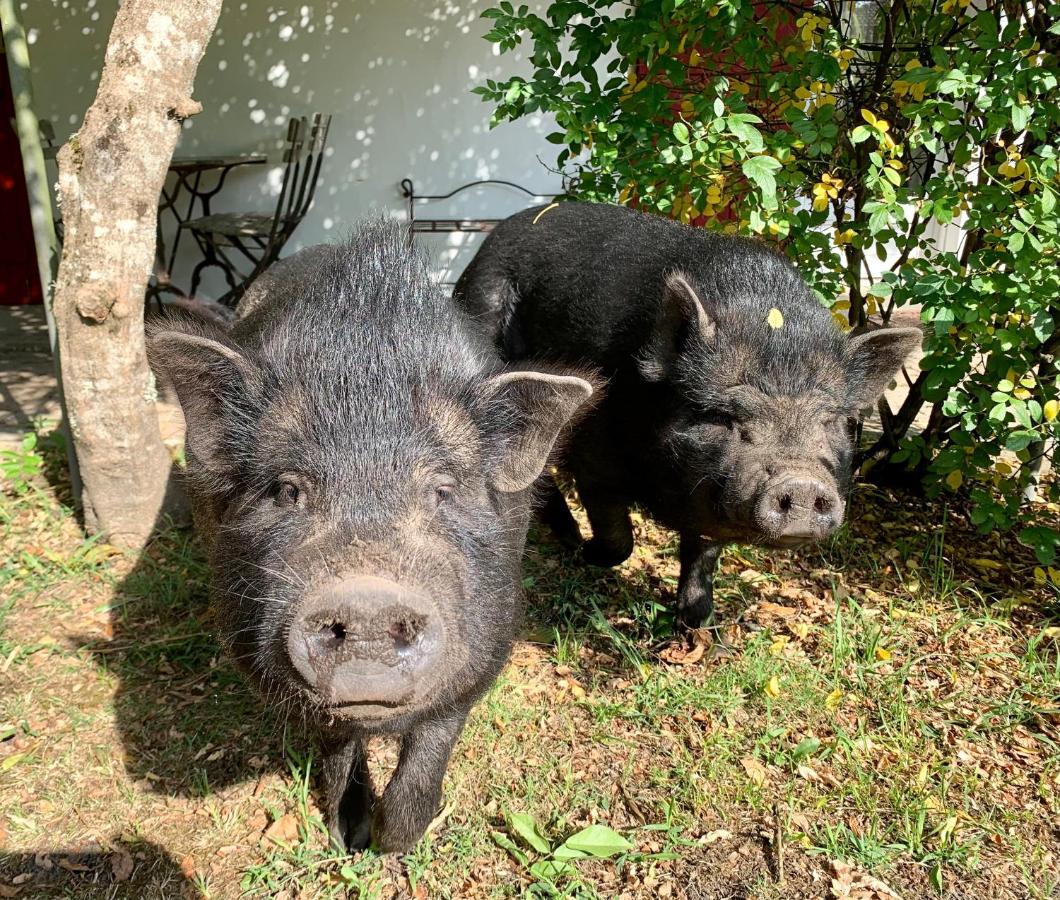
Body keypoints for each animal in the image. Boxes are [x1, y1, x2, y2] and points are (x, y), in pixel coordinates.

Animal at [147, 219, 597, 848]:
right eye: (287, 490)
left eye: (442, 490)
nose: (366, 601)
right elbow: (337, 744)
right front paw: (347, 838)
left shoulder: (485, 648)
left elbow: (434, 740)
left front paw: (397, 845)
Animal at [453, 201, 920, 627]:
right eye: (723, 415)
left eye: (832, 421)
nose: (803, 482)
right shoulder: (594, 462)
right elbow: (618, 535)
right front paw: (590, 554)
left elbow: (703, 553)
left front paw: (698, 622)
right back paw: (568, 540)